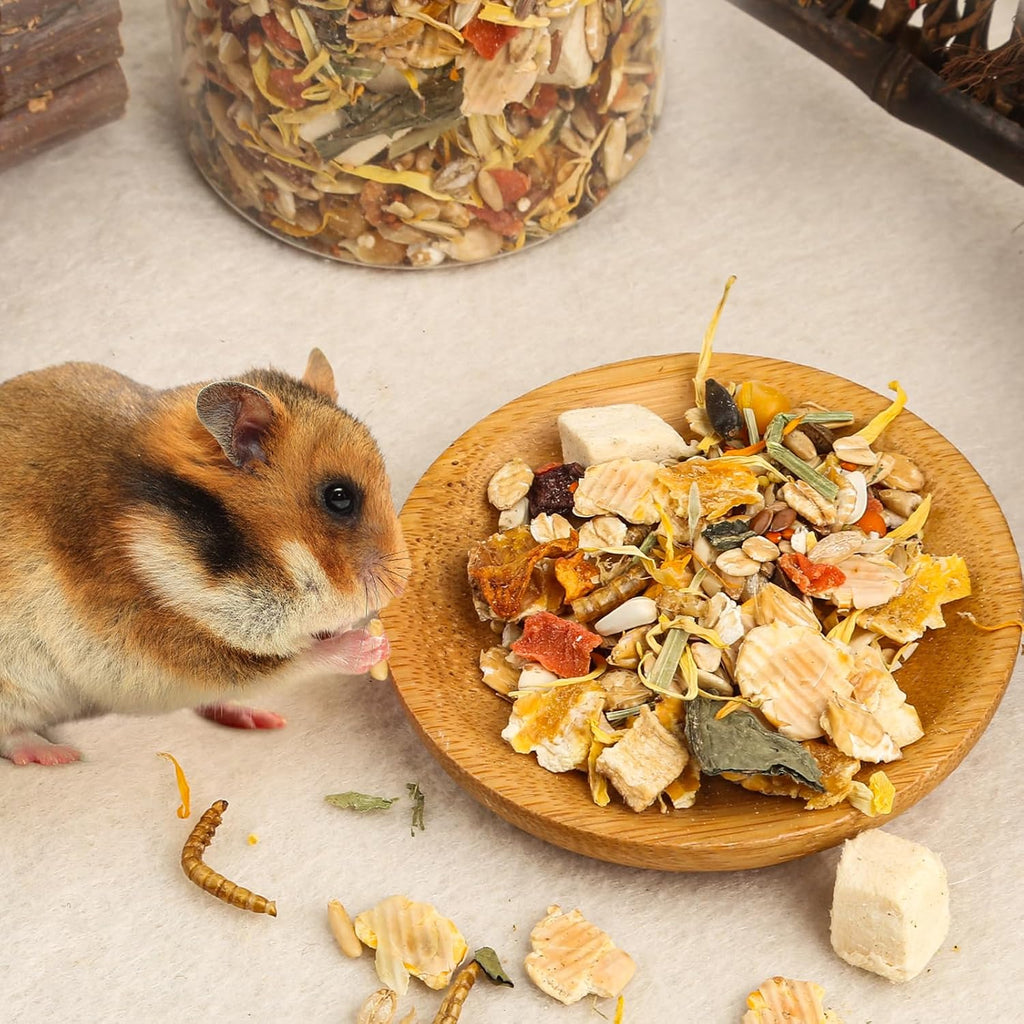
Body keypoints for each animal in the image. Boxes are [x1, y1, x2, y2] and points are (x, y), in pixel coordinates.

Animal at [0, 348, 409, 766]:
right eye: (339, 497)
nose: (402, 584)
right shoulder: (163, 646)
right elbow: (290, 660)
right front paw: (372, 646)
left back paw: (258, 719)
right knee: (11, 733)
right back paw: (58, 754)